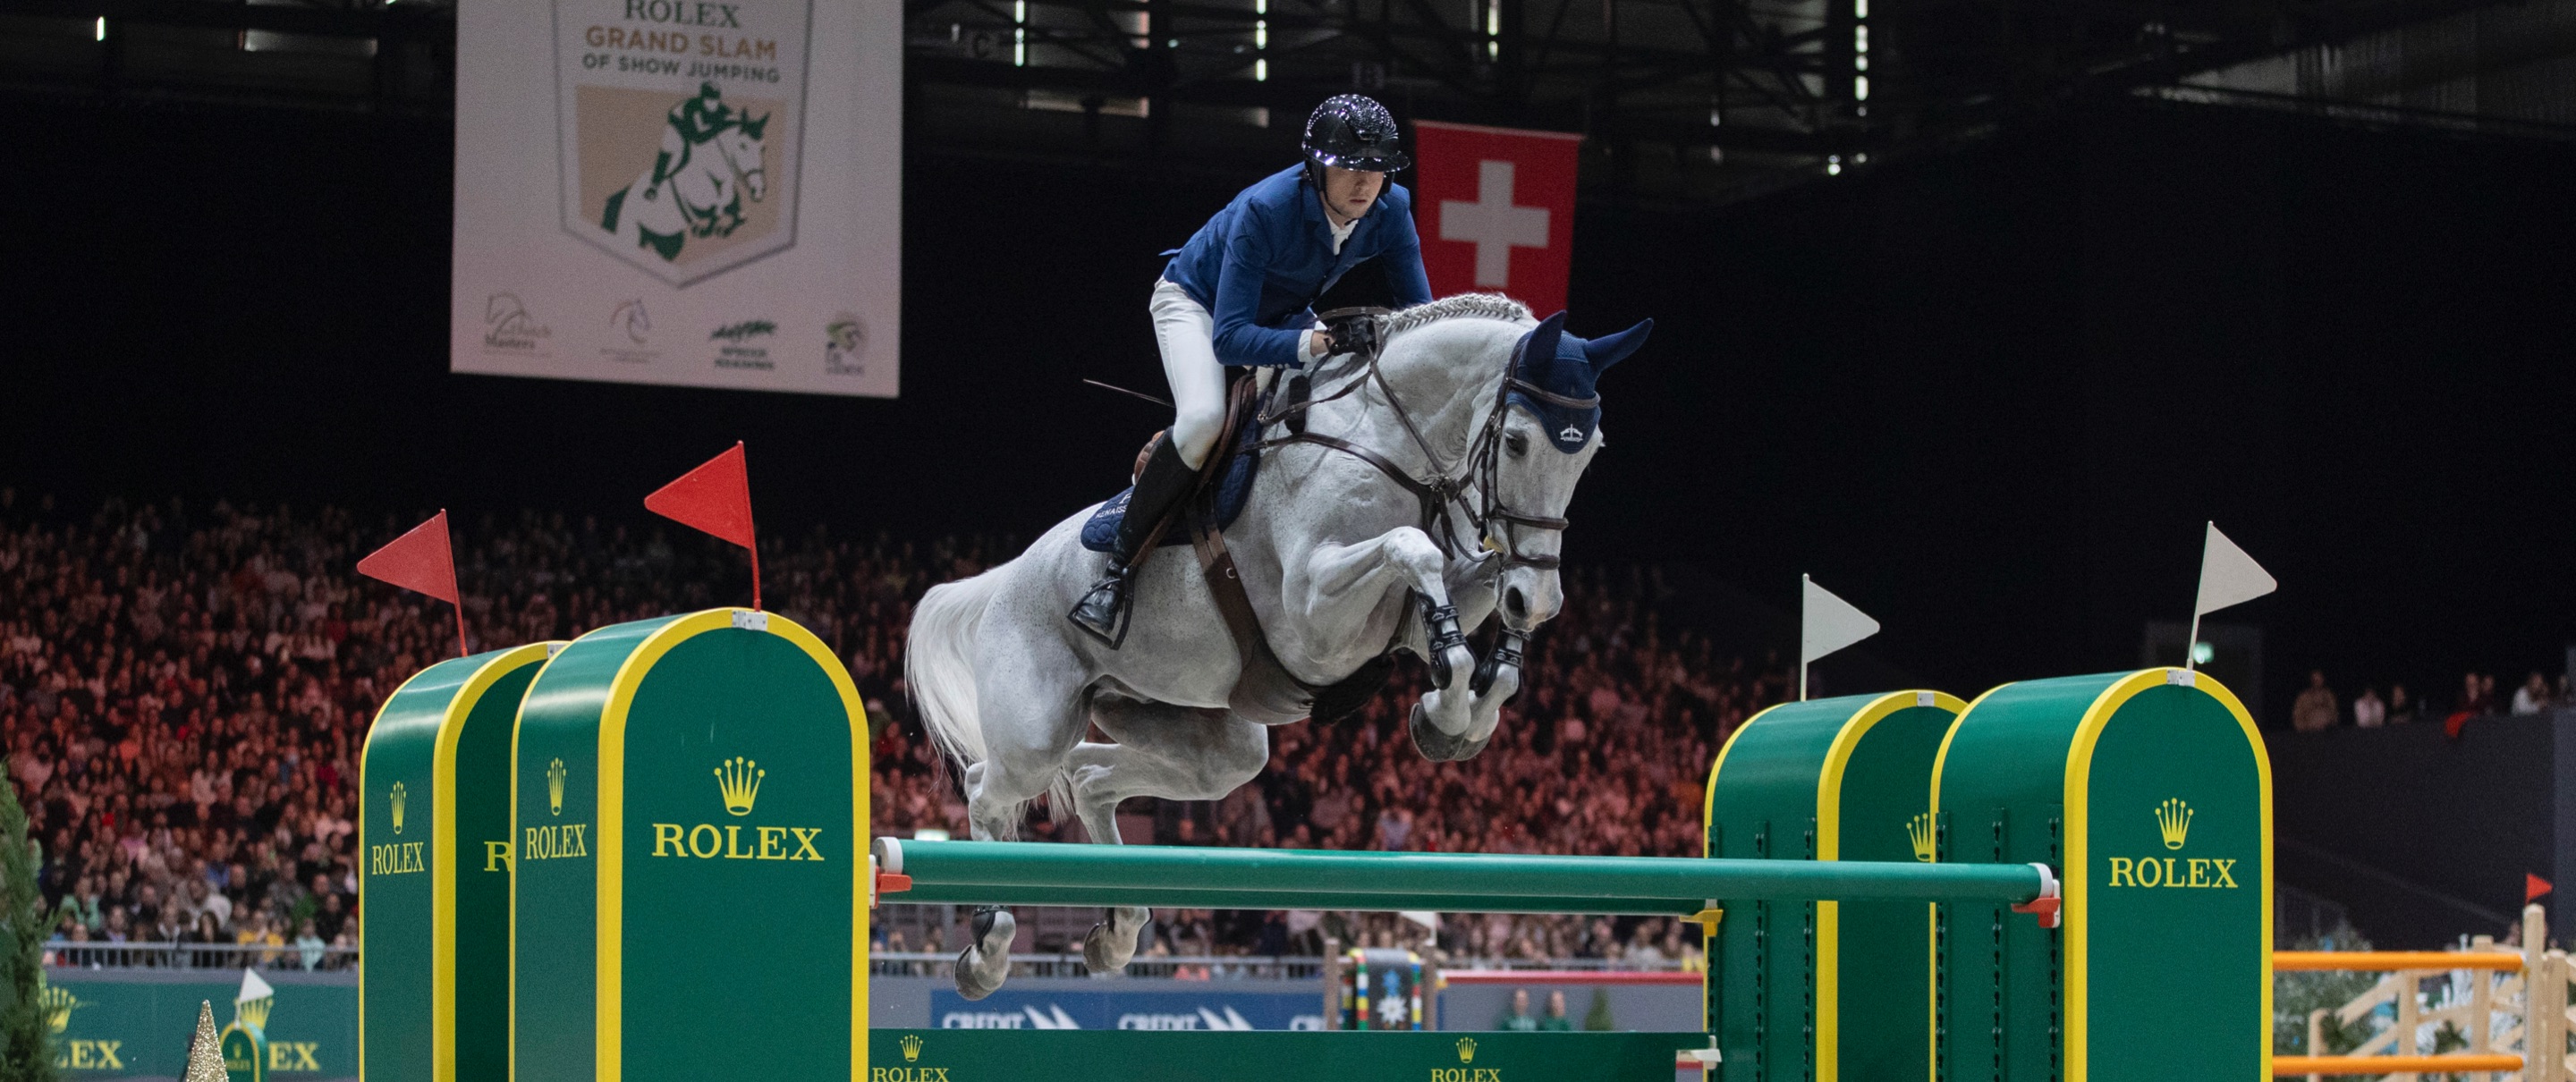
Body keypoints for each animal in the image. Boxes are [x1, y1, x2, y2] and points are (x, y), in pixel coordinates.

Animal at [597, 114, 767, 262]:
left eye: (763, 147)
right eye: (743, 145)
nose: (759, 190)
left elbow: (738, 214)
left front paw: (721, 230)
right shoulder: (699, 205)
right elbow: (716, 208)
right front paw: (705, 229)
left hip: (666, 241)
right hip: (630, 232)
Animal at [906, 293, 1638, 999]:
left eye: (1591, 450)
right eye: (1515, 442)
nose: (1538, 601)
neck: (1384, 447)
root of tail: (1007, 577)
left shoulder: (1421, 608)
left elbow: (1466, 595)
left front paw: (1457, 715)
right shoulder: (1314, 616)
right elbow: (1413, 550)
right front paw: (1451, 704)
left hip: (1197, 736)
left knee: (1090, 778)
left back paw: (1116, 931)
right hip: (1034, 734)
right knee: (987, 787)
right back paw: (989, 947)